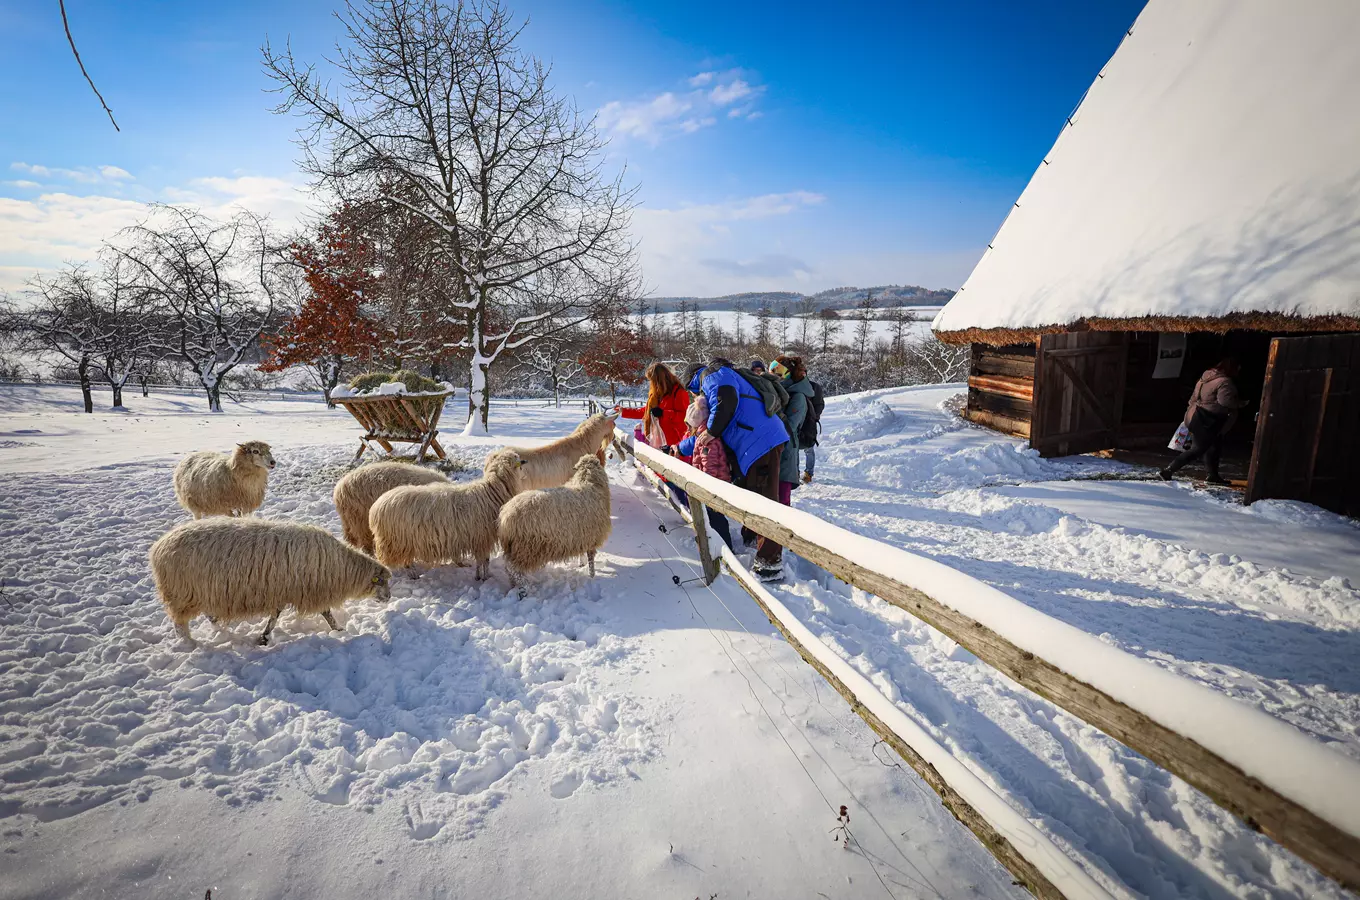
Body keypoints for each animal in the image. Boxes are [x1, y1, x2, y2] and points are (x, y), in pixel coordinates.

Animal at [150, 513, 394, 649]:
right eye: (381, 581)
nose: (389, 598)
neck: (340, 567)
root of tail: (158, 547)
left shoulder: (282, 591)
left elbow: (275, 615)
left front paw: (264, 637)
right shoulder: (309, 590)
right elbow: (326, 614)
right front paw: (340, 631)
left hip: (200, 592)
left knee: (206, 613)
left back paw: (218, 626)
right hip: (182, 593)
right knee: (179, 624)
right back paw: (188, 643)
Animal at [367, 448, 524, 581]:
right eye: (516, 458)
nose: (524, 461)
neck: (492, 490)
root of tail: (375, 507)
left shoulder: (478, 538)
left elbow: (481, 561)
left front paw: (479, 575)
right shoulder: (482, 538)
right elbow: (484, 561)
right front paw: (484, 578)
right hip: (398, 541)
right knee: (405, 562)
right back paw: (413, 574)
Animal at [500, 454, 612, 590]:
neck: (588, 482)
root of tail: (505, 518)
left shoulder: (582, 536)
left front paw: (581, 565)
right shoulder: (592, 536)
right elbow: (591, 559)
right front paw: (592, 576)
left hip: (514, 548)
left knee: (509, 568)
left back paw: (514, 585)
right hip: (525, 547)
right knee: (514, 569)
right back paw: (524, 588)